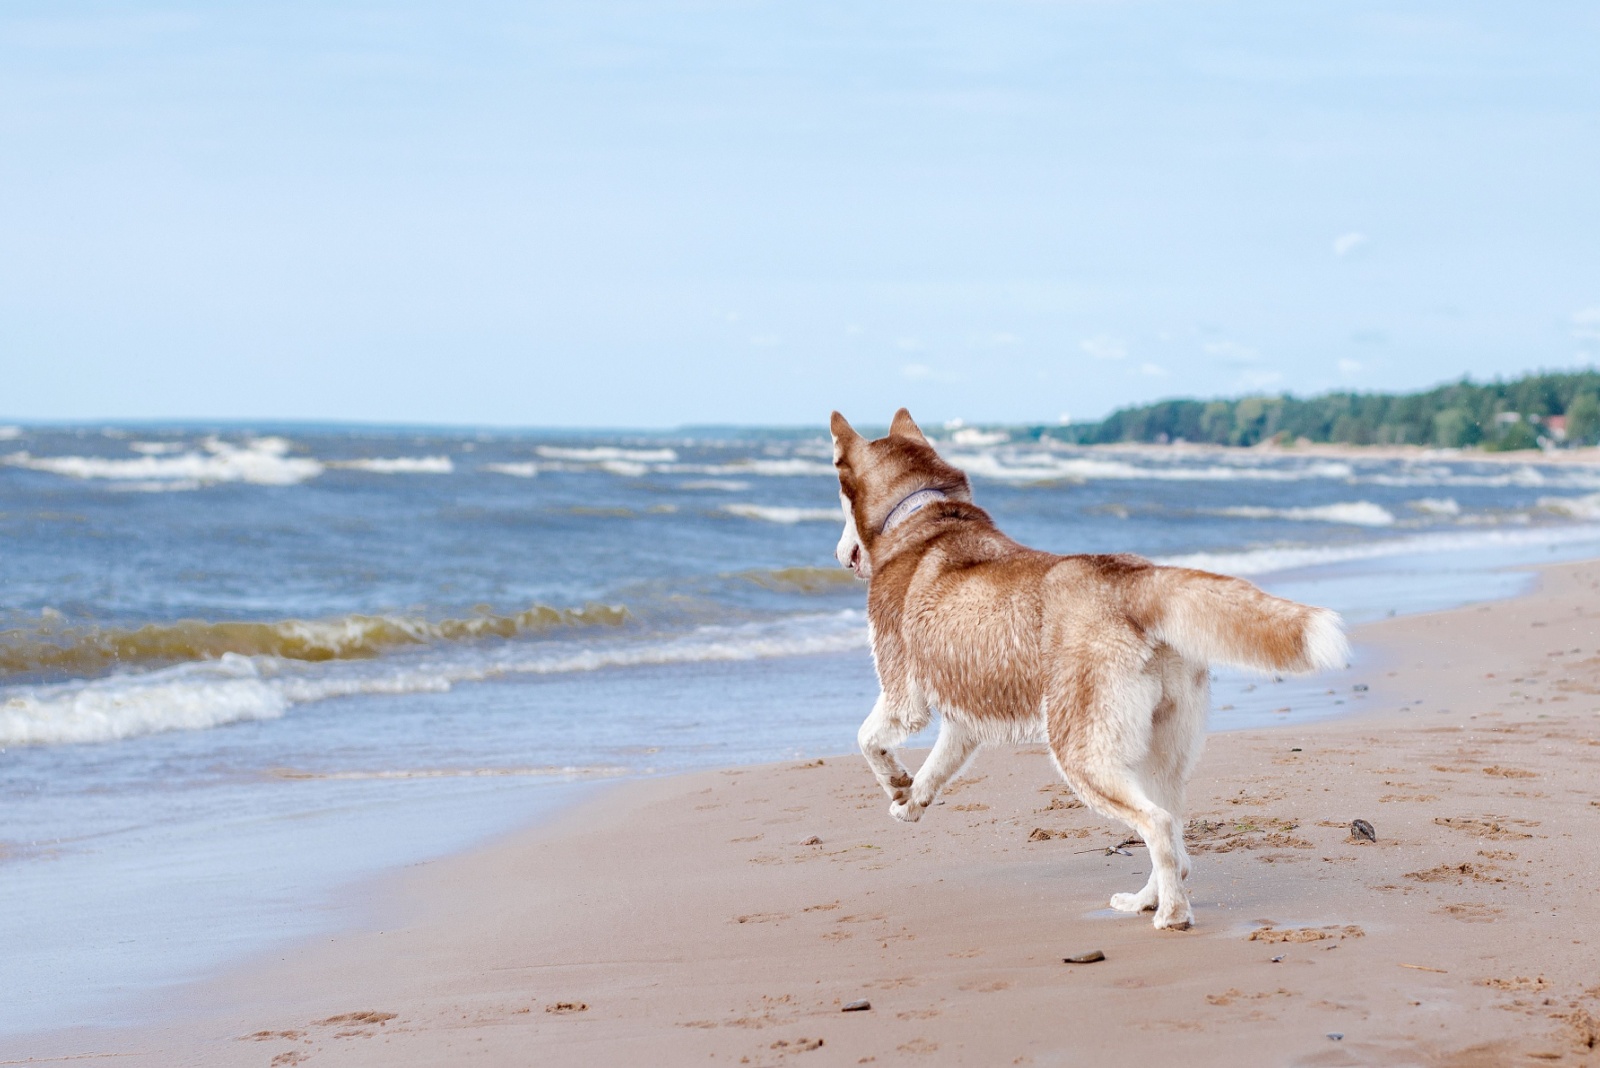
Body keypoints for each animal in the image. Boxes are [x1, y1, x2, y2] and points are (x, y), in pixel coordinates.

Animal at [832, 409, 1344, 927]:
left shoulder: (904, 697)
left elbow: (866, 738)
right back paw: (1145, 899)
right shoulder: (964, 720)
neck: (918, 511)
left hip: (1081, 754)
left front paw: (895, 781)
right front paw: (911, 800)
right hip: (1157, 754)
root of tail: (1132, 578)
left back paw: (1171, 914)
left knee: (1158, 825)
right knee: (1178, 847)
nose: (838, 555)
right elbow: (935, 768)